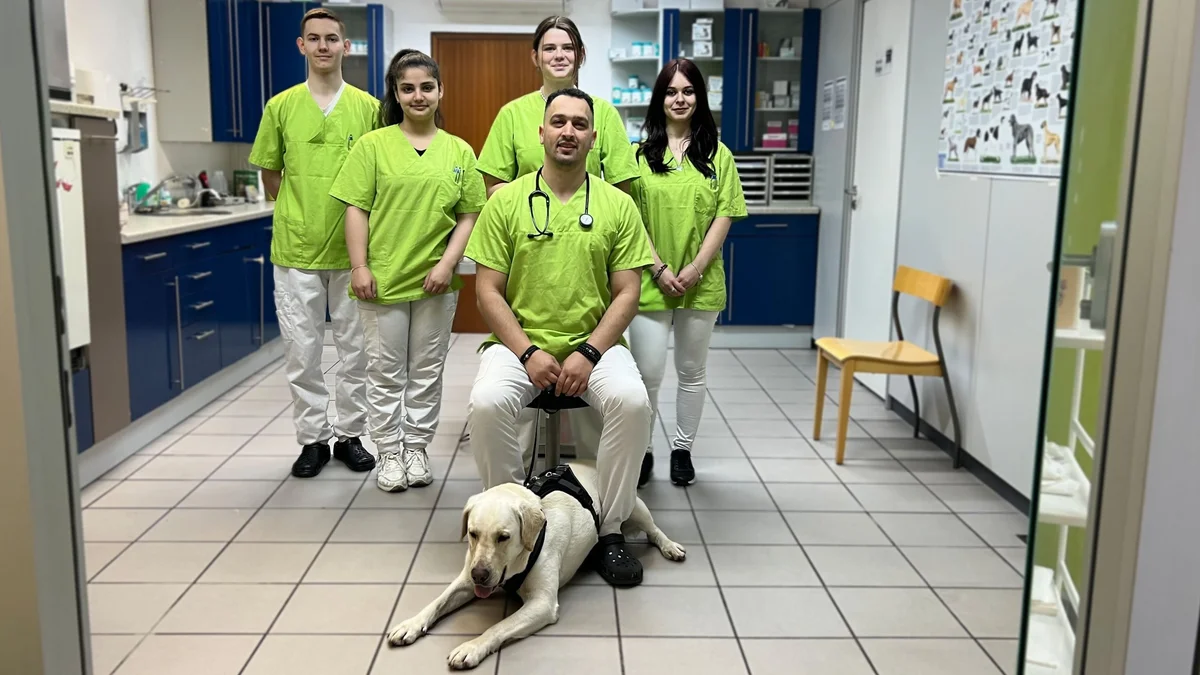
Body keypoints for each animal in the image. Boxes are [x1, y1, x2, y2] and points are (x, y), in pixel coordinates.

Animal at [386, 462, 686, 670]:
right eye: (472, 533)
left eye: (503, 537)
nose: (480, 575)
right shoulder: (465, 580)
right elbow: (437, 602)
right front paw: (410, 624)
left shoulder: (542, 603)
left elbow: (498, 626)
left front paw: (471, 646)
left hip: (633, 507)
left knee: (653, 530)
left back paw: (670, 546)